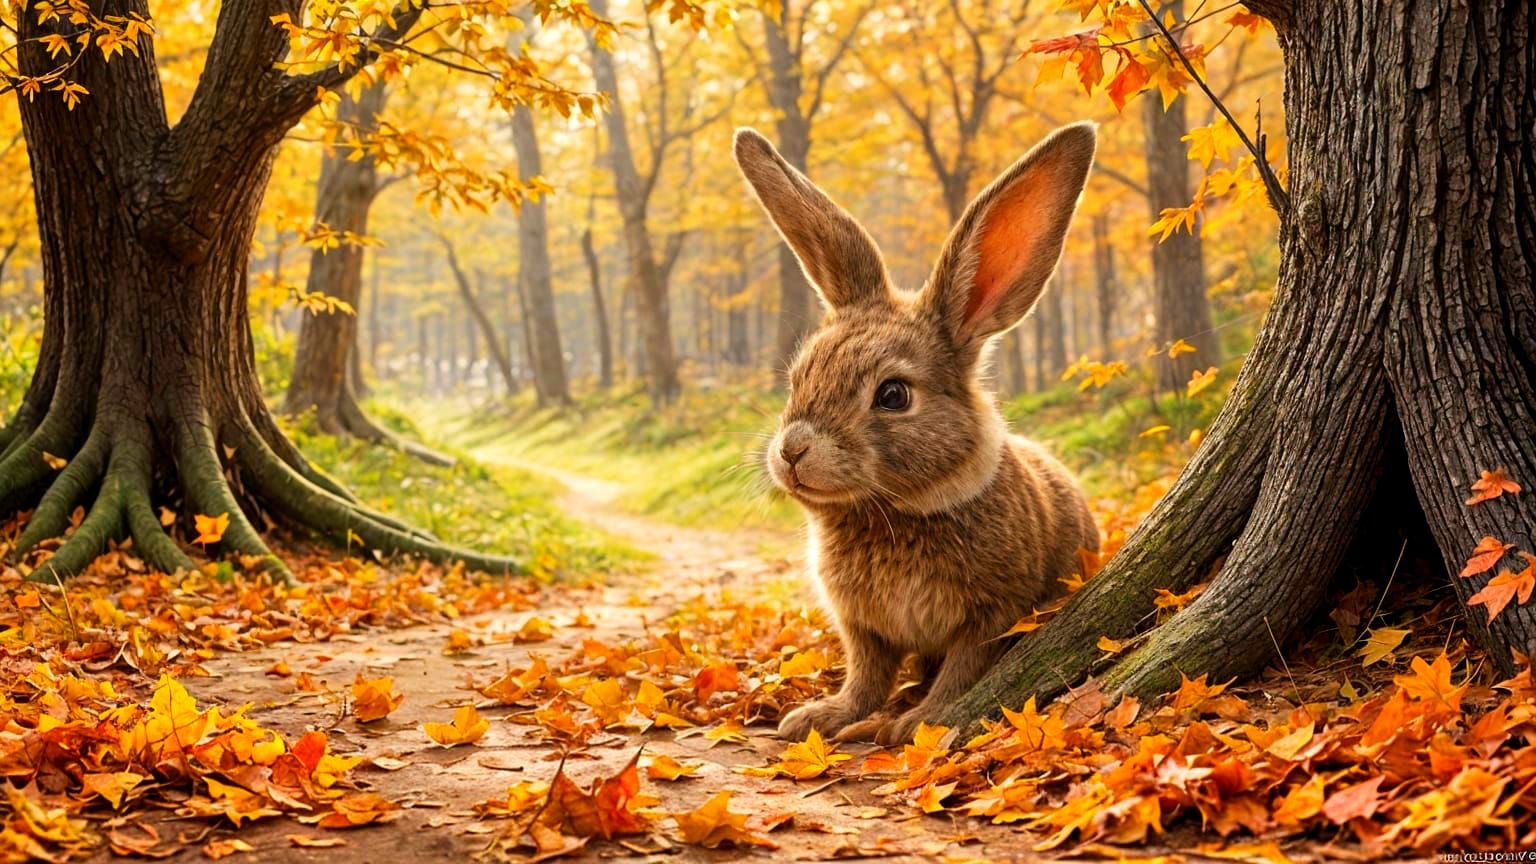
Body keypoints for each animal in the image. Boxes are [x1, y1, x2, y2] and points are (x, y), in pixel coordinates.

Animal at [733, 123, 1102, 746]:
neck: (894, 510)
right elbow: (866, 674)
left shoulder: (992, 614)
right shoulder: (862, 626)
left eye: (893, 395)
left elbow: (961, 671)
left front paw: (920, 722)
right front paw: (823, 717)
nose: (792, 452)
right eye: (799, 375)